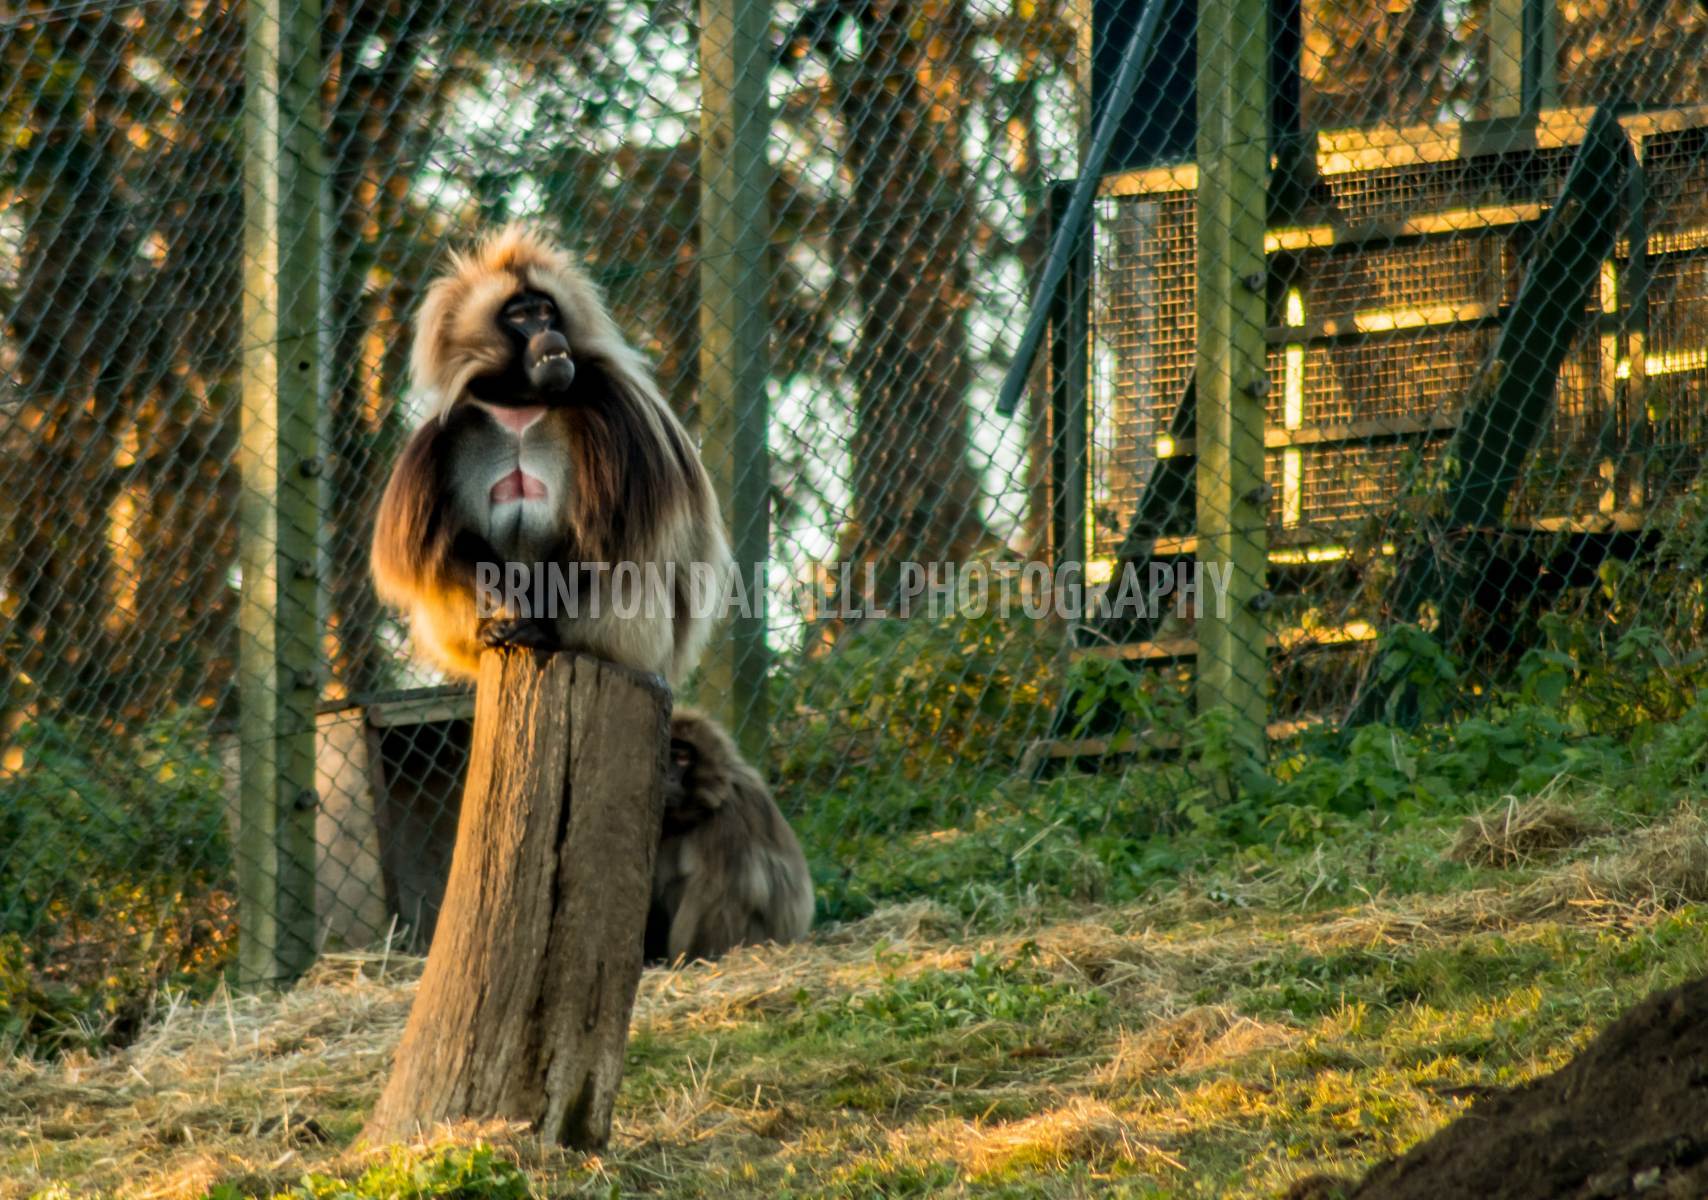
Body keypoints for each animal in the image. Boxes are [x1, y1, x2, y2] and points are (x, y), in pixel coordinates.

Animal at [371, 224, 732, 684]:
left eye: (545, 310)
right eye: (518, 316)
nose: (548, 332)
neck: (523, 402)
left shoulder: (621, 415)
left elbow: (605, 540)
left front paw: (531, 621)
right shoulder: (444, 432)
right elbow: (437, 549)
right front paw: (510, 610)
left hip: (638, 643)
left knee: (631, 573)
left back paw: (540, 634)